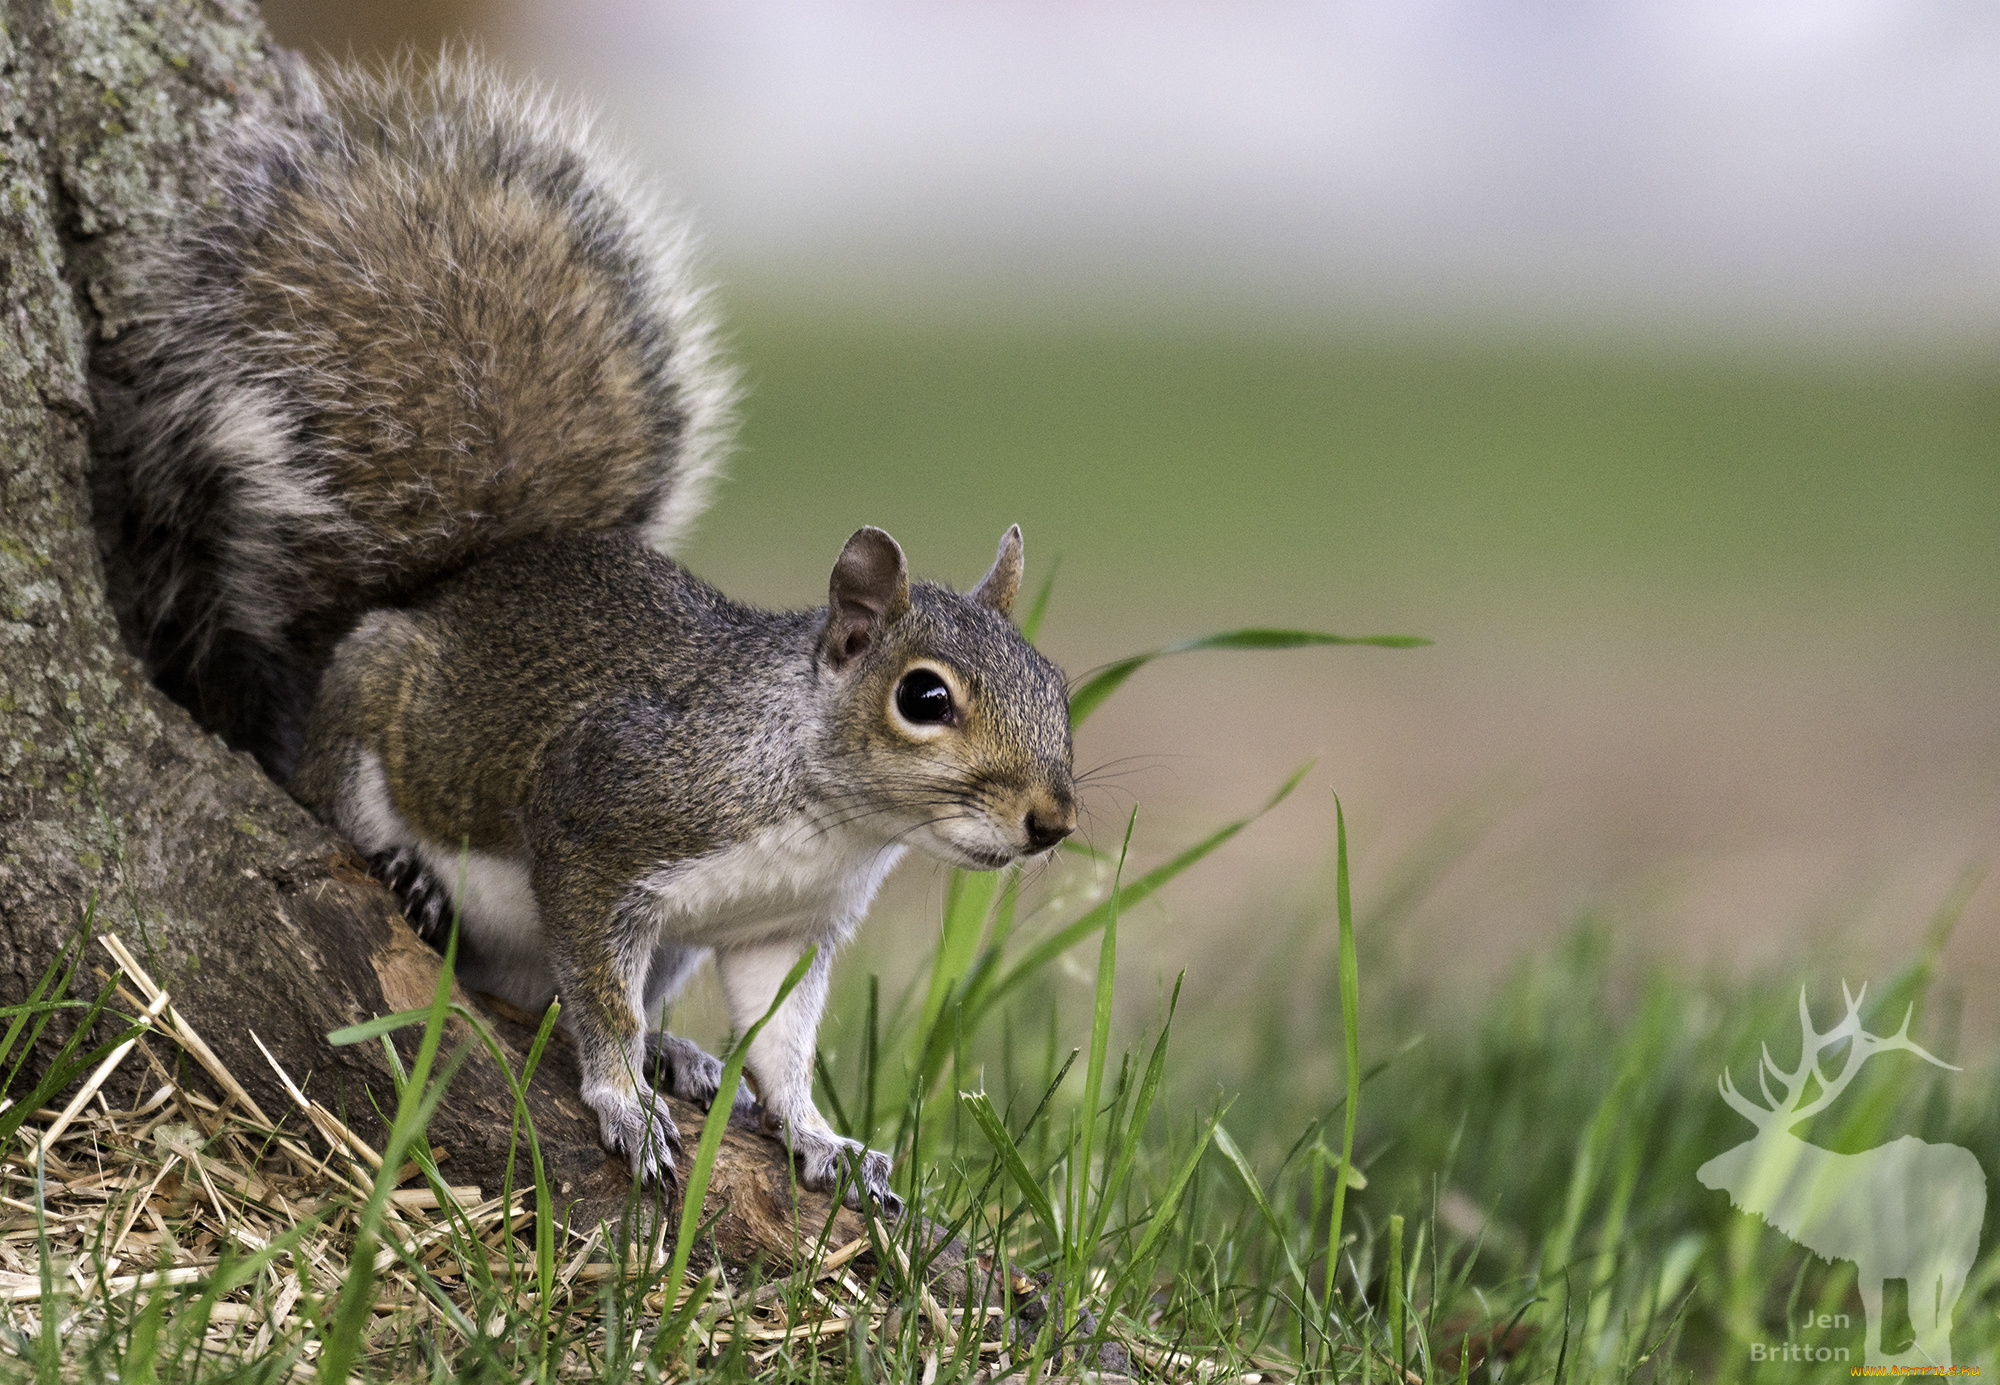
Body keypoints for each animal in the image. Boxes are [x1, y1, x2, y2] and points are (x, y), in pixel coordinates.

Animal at [94, 59, 1080, 1208]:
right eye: (924, 697)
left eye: (1057, 686)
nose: (1052, 819)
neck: (826, 812)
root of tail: (442, 590)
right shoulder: (603, 823)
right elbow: (600, 992)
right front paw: (621, 1097)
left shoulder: (778, 930)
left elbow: (780, 1045)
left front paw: (819, 1135)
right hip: (375, 700)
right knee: (343, 793)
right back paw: (409, 873)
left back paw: (680, 1052)